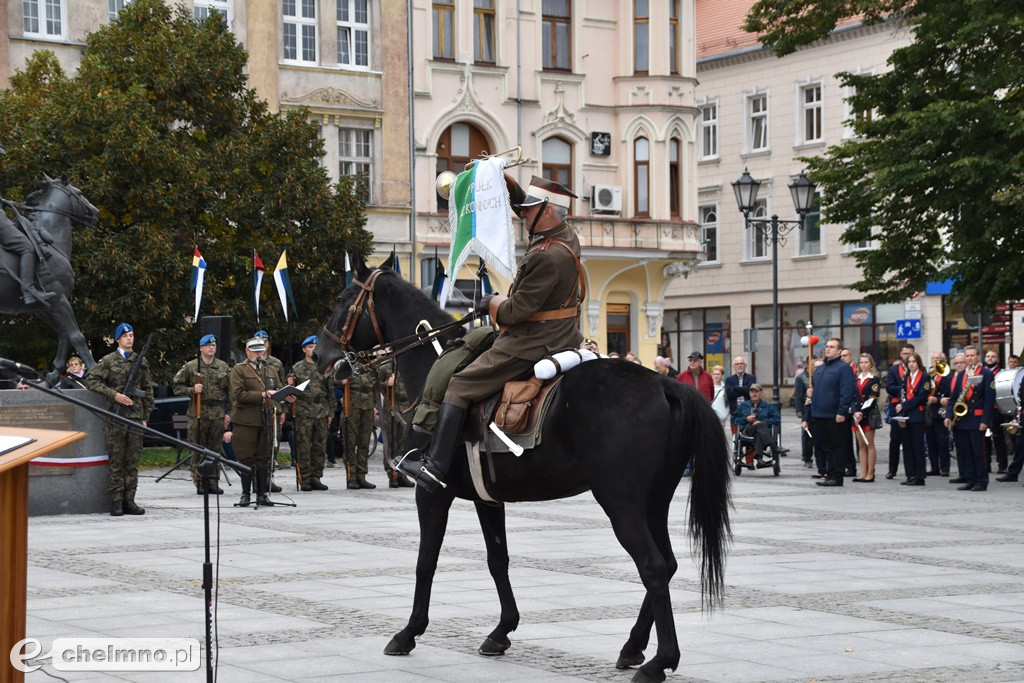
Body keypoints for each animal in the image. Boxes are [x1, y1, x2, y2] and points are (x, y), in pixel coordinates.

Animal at [315, 258, 733, 683]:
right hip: (654, 504)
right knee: (668, 564)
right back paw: (632, 647)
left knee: (653, 567)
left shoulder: (432, 492)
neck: (432, 359)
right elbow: (497, 560)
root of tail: (665, 385)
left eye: (343, 298)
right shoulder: (487, 499)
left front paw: (409, 631)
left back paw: (660, 661)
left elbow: (425, 560)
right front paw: (501, 631)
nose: (321, 356)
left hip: (622, 504)